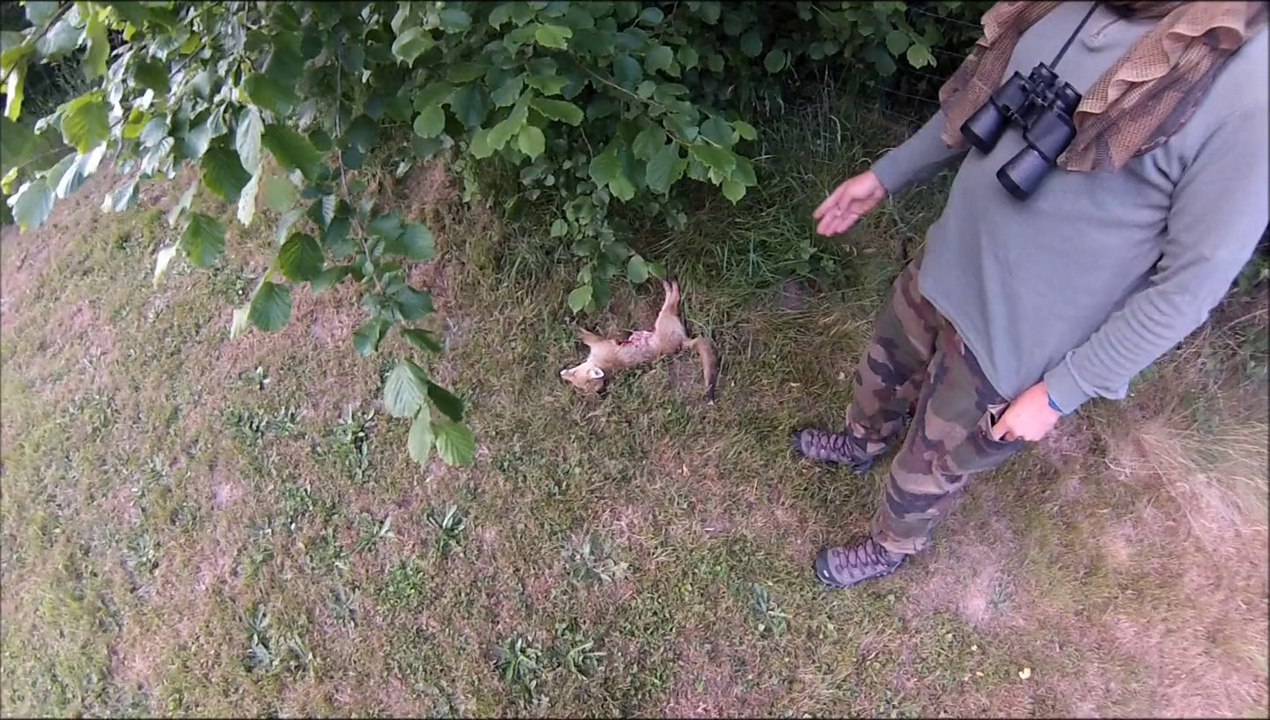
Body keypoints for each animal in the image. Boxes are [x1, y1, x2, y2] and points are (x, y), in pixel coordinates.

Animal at [560, 278, 718, 401]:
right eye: (575, 383)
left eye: (573, 375)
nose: (562, 374)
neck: (604, 364)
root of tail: (682, 343)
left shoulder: (598, 341)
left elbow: (580, 331)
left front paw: (568, 322)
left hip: (663, 315)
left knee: (673, 297)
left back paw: (668, 282)